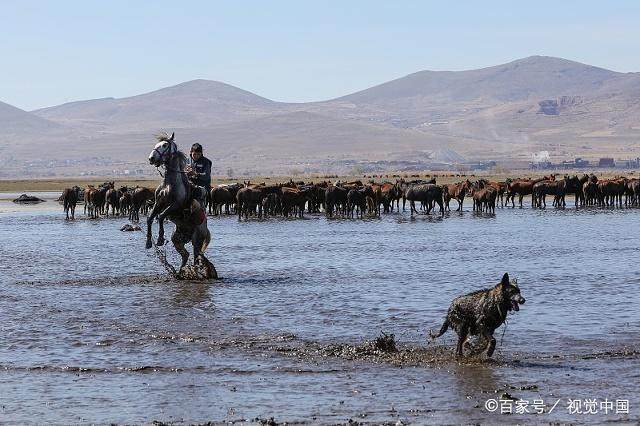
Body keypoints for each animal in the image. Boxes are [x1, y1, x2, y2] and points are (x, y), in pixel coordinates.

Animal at [145, 133, 218, 280]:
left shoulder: (175, 205)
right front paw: (149, 243)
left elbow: (161, 216)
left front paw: (160, 239)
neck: (170, 183)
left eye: (165, 145)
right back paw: (180, 273)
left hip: (196, 240)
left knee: (196, 257)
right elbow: (150, 218)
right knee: (186, 255)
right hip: (177, 239)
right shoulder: (158, 203)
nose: (151, 158)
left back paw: (195, 273)